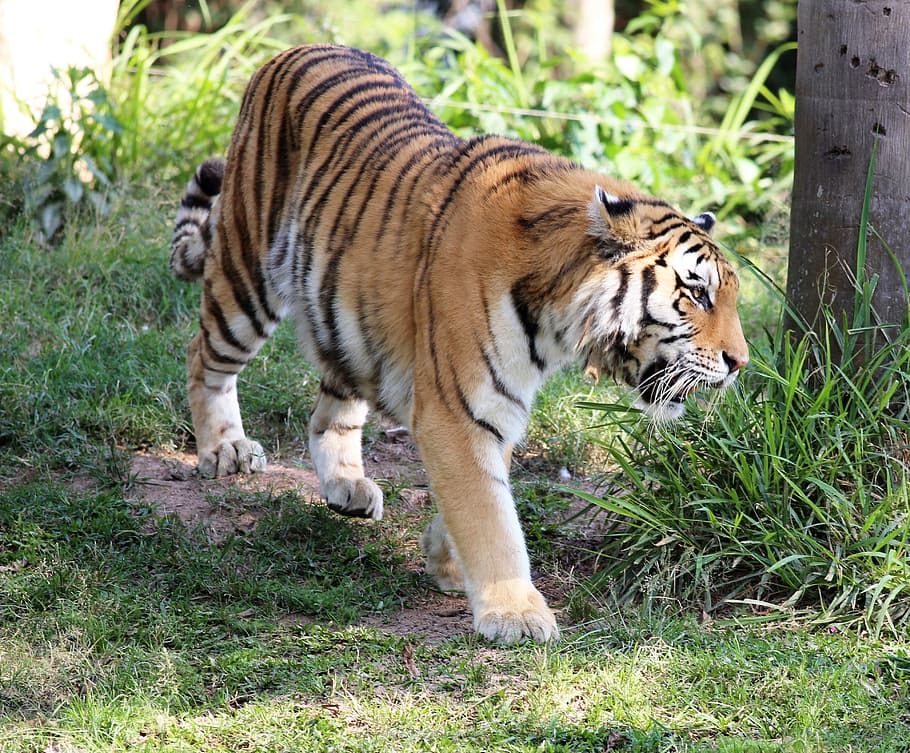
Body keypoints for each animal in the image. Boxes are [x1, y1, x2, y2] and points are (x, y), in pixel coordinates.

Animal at [169, 44, 748, 643]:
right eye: (697, 291)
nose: (740, 363)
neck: (556, 315)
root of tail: (293, 50)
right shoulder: (458, 407)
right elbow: (489, 513)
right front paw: (516, 613)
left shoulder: (500, 405)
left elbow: (484, 490)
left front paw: (443, 558)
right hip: (246, 276)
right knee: (203, 356)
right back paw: (227, 450)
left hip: (347, 314)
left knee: (333, 409)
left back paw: (348, 485)